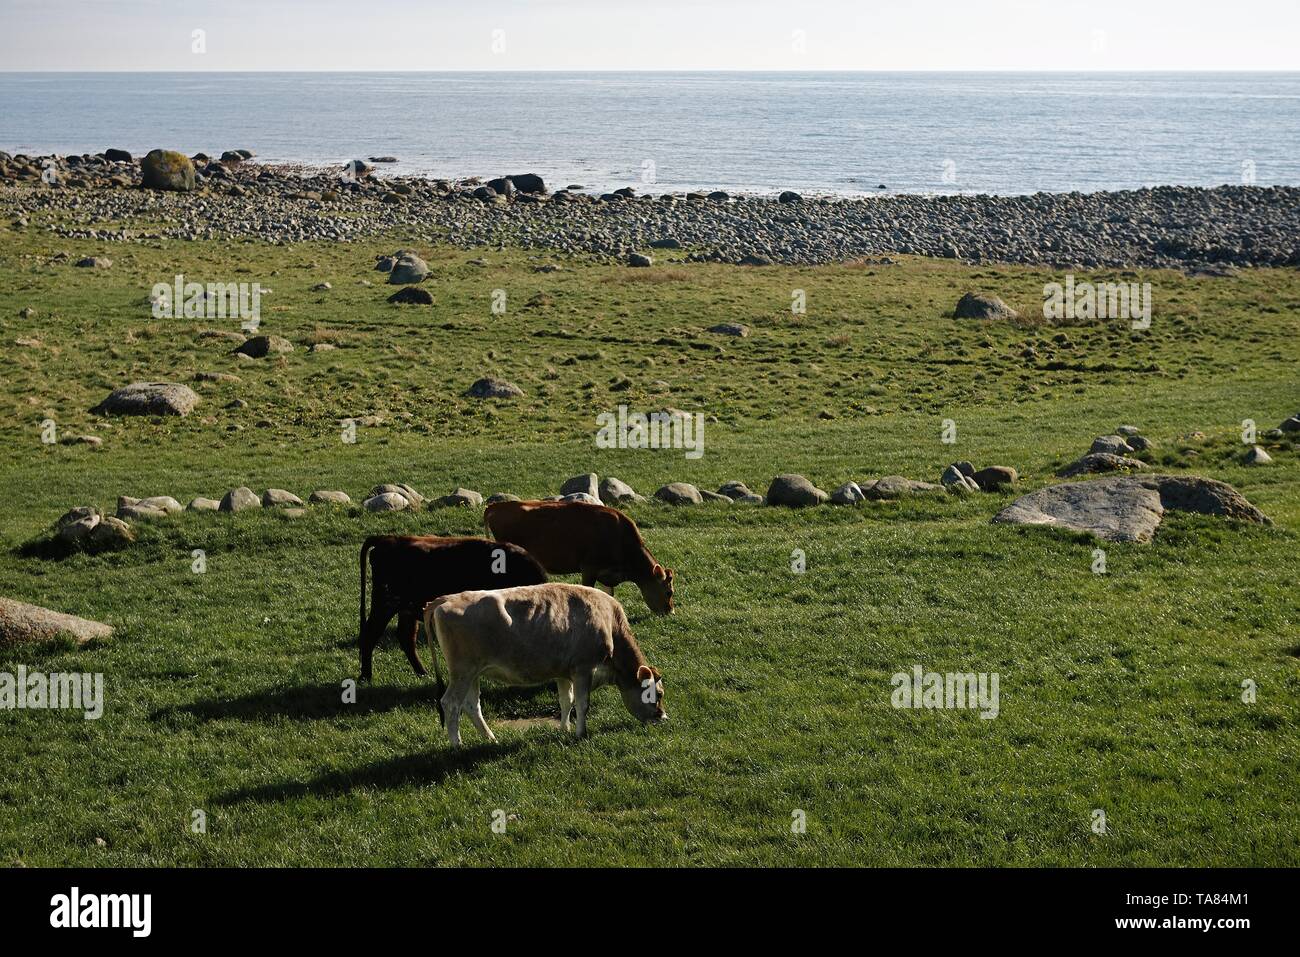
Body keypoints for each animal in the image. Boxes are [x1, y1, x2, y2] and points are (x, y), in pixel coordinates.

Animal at [358, 535, 546, 686]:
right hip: (385, 605)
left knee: (405, 636)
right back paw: (366, 677)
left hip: (405, 610)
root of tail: (388, 539)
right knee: (370, 635)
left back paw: (422, 673)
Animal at [426, 582, 665, 748]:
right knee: (451, 703)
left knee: (471, 705)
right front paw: (580, 734)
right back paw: (457, 745)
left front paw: (564, 729)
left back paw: (490, 738)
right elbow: (582, 703)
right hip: (463, 672)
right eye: (659, 693)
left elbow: (566, 700)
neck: (609, 622)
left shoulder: (563, 672)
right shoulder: (583, 669)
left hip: (473, 674)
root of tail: (444, 600)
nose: (663, 717)